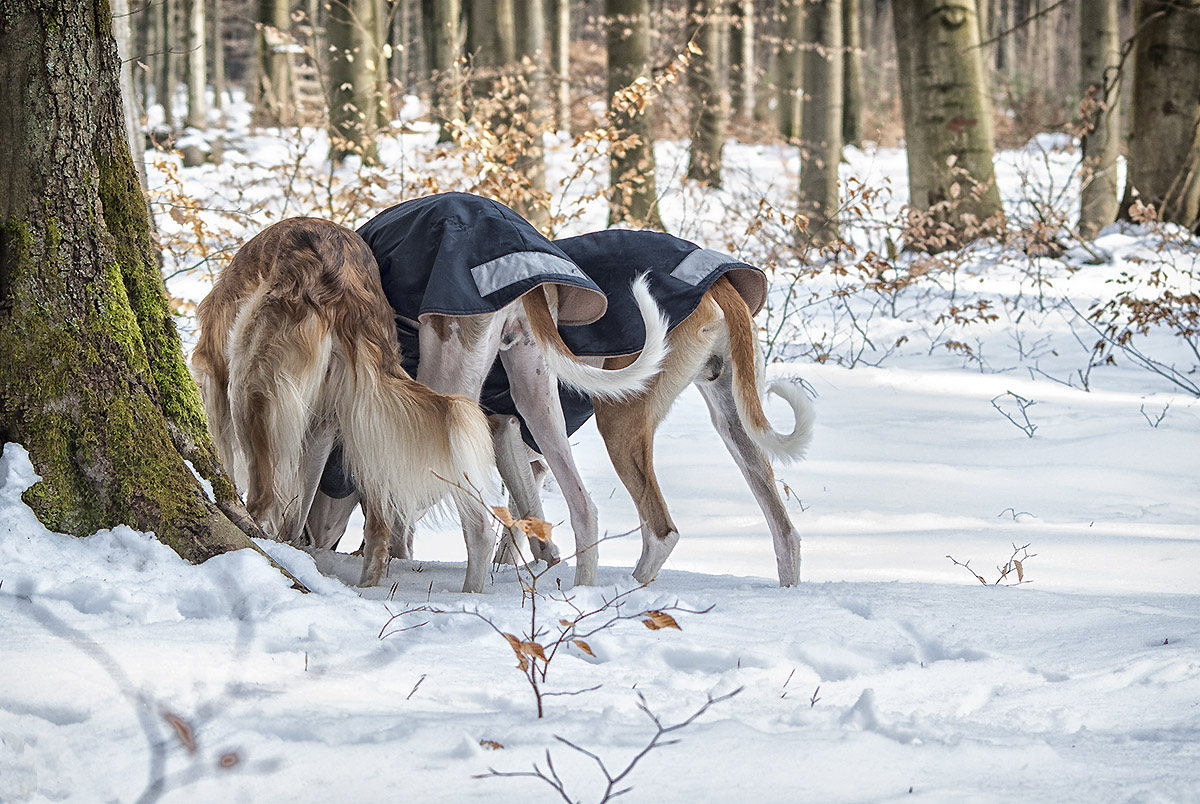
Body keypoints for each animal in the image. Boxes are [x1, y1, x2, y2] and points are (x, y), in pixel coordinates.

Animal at [192, 217, 496, 595]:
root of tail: (342, 278)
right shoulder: (320, 427)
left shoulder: (213, 379)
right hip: (363, 424)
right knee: (376, 531)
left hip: (250, 389)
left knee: (265, 504)